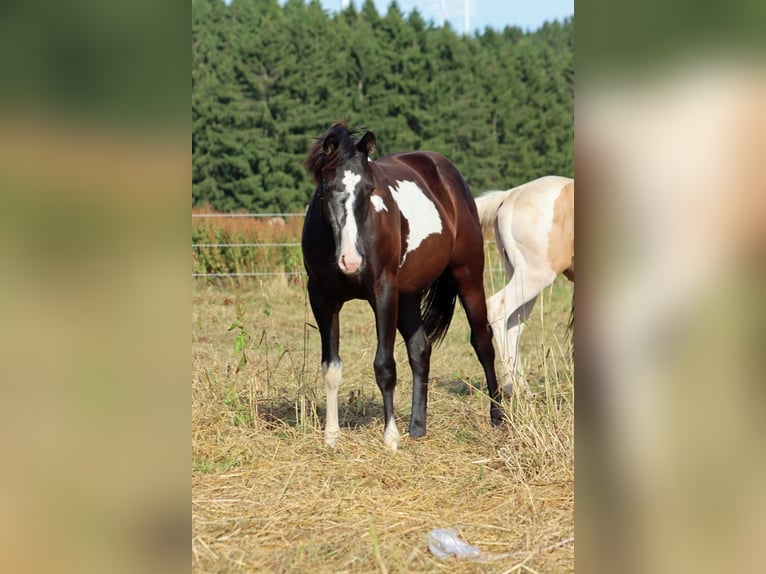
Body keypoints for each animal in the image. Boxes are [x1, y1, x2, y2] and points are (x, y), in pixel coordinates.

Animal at [302, 121, 502, 450]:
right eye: (328, 189)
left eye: (369, 189)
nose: (351, 261)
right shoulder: (322, 298)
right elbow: (331, 367)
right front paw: (331, 435)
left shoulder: (383, 293)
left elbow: (385, 366)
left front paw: (390, 436)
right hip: (408, 295)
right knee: (420, 348)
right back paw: (417, 426)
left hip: (468, 275)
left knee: (482, 343)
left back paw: (498, 417)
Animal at [474, 175, 574, 397]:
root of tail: (509, 195)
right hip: (534, 276)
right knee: (498, 309)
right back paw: (511, 387)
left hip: (523, 278)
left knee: (513, 326)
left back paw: (524, 391)